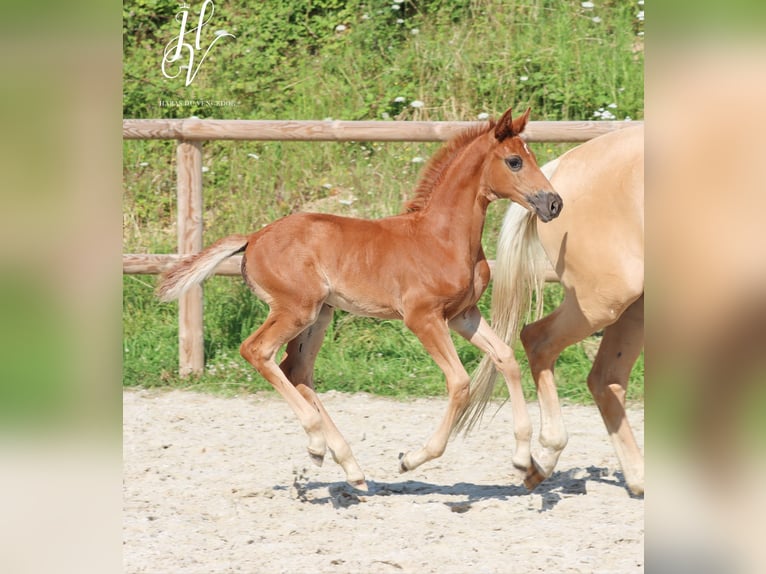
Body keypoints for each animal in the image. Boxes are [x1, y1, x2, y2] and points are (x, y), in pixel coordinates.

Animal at [158, 109, 564, 496]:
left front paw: (523, 460)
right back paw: (317, 443)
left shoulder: (462, 315)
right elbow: (460, 382)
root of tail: (254, 237)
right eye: (514, 161)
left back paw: (350, 467)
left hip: (320, 316)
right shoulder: (423, 318)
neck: (440, 237)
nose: (554, 203)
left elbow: (506, 358)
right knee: (257, 351)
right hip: (296, 310)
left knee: (296, 370)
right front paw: (411, 459)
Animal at [460, 124, 644, 498]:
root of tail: (557, 170)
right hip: (605, 300)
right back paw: (542, 457)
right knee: (539, 340)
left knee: (606, 378)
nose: (552, 203)